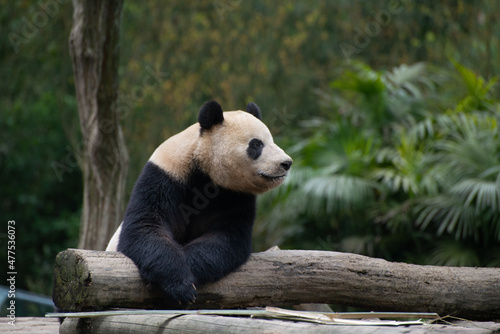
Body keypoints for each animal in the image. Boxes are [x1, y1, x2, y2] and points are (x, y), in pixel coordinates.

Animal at [107, 100, 292, 306]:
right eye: (256, 144)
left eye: (271, 140)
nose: (286, 163)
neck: (206, 173)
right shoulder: (164, 177)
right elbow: (145, 227)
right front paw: (179, 284)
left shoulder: (236, 196)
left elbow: (225, 238)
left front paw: (185, 276)